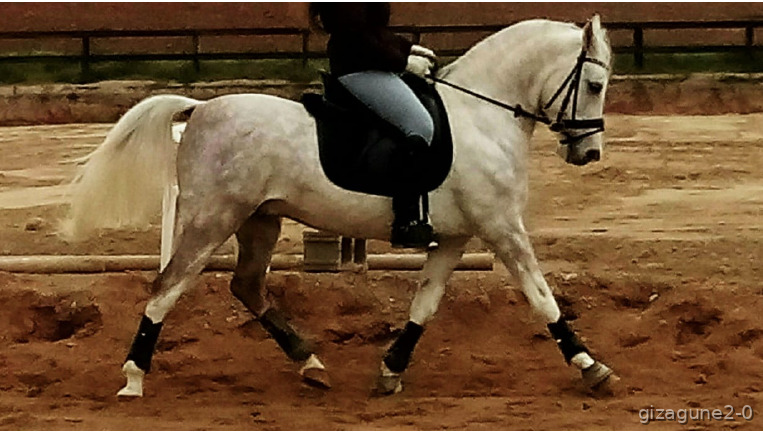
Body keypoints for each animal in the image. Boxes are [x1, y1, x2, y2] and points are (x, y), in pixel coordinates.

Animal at [63, 15, 615, 397]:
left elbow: (425, 305)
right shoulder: (502, 226)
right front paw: (591, 367)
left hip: (260, 220)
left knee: (247, 287)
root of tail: (199, 109)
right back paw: (134, 378)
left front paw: (391, 371)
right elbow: (542, 296)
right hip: (212, 219)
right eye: (594, 85)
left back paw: (310, 365)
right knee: (166, 288)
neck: (482, 115)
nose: (588, 153)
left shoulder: (456, 237)